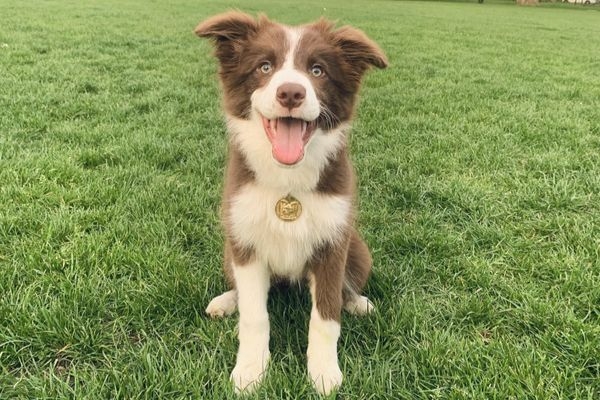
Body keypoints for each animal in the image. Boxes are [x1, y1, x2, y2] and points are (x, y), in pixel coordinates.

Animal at [195, 10, 386, 396]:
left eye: (318, 70)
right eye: (265, 67)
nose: (291, 92)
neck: (287, 180)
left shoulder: (332, 241)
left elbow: (326, 316)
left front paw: (324, 375)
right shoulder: (245, 239)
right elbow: (254, 317)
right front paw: (250, 372)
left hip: (358, 249)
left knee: (346, 289)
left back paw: (358, 303)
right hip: (229, 249)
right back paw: (225, 302)